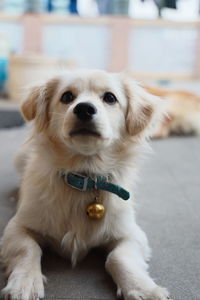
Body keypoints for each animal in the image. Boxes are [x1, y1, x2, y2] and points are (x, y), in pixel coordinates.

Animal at [0, 70, 170, 300]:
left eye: (110, 98)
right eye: (66, 97)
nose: (84, 108)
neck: (85, 176)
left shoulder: (132, 234)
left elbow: (118, 257)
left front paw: (142, 288)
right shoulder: (17, 227)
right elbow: (28, 249)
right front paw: (24, 283)